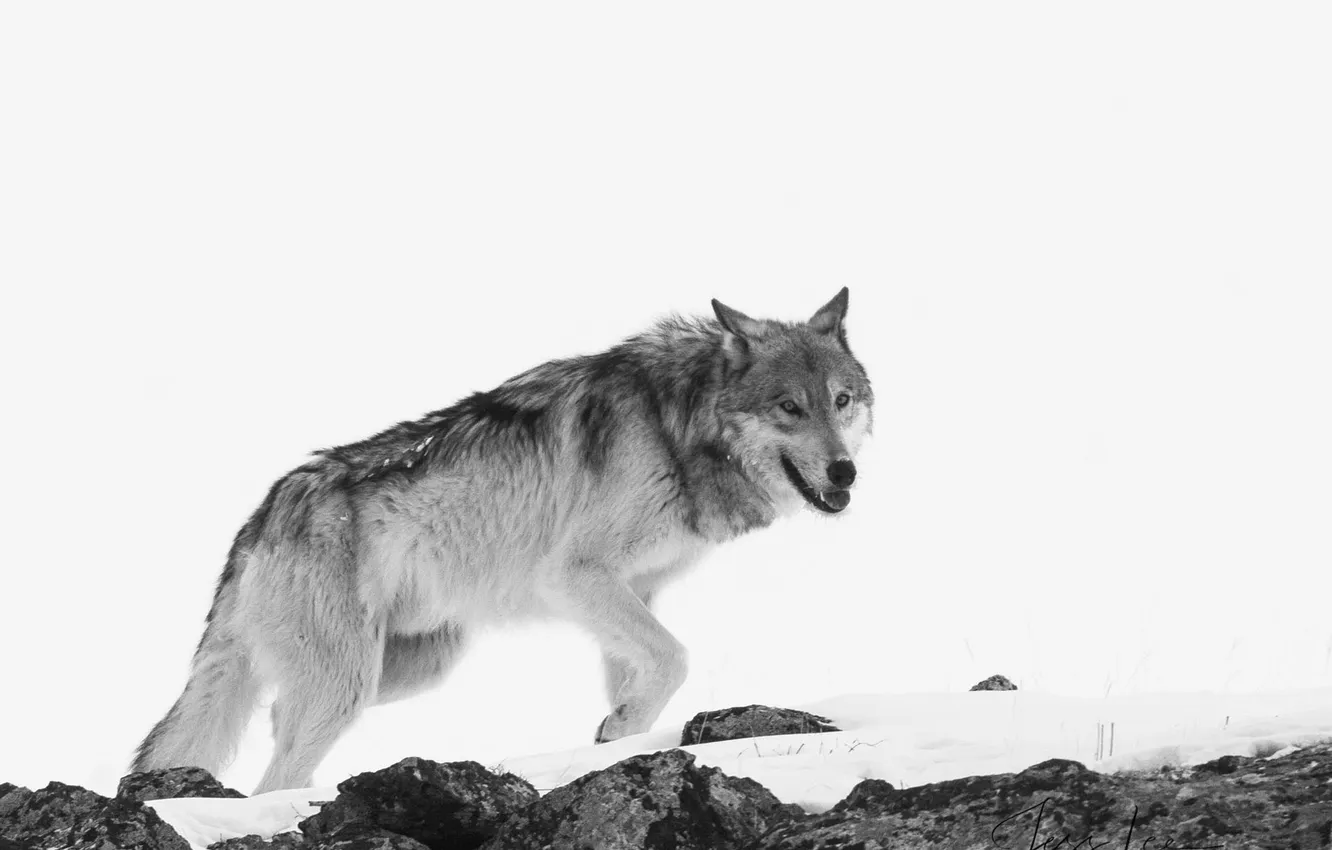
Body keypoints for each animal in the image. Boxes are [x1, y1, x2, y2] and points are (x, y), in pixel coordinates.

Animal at [132, 288, 874, 793]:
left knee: (276, 726)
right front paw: (618, 730)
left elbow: (644, 676)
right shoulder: (575, 576)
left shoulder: (634, 593)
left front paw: (615, 743)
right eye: (789, 407)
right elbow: (675, 660)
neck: (678, 424)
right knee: (277, 763)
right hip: (347, 682)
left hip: (408, 667)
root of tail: (259, 518)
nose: (845, 471)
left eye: (841, 400)